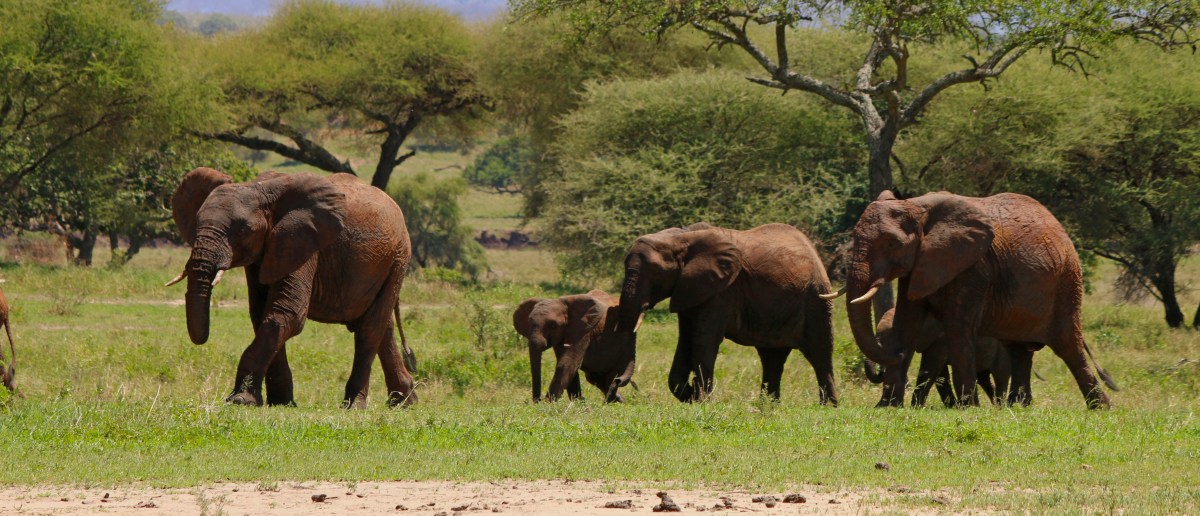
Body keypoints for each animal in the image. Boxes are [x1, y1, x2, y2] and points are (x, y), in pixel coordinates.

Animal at [168, 167, 417, 408]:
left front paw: (241, 400)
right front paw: (281, 402)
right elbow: (261, 314)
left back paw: (355, 406)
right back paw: (405, 402)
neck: (258, 188)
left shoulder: (303, 241)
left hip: (398, 258)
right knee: (382, 326)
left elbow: (288, 313)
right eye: (196, 222)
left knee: (370, 328)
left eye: (243, 230)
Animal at [617, 223, 837, 404]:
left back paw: (827, 406)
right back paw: (768, 405)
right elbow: (685, 339)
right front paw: (691, 395)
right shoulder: (689, 289)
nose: (617, 382)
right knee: (772, 357)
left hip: (817, 298)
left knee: (819, 351)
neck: (680, 237)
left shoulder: (721, 290)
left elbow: (703, 339)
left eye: (655, 272)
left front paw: (701, 400)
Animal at [830, 190, 1116, 408]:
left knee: (1069, 347)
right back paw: (1017, 407)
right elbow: (907, 323)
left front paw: (968, 408)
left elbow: (957, 329)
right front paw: (887, 407)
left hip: (1067, 283)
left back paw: (1101, 408)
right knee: (1019, 350)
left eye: (892, 244)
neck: (917, 206)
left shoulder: (974, 267)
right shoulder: (918, 265)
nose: (895, 353)